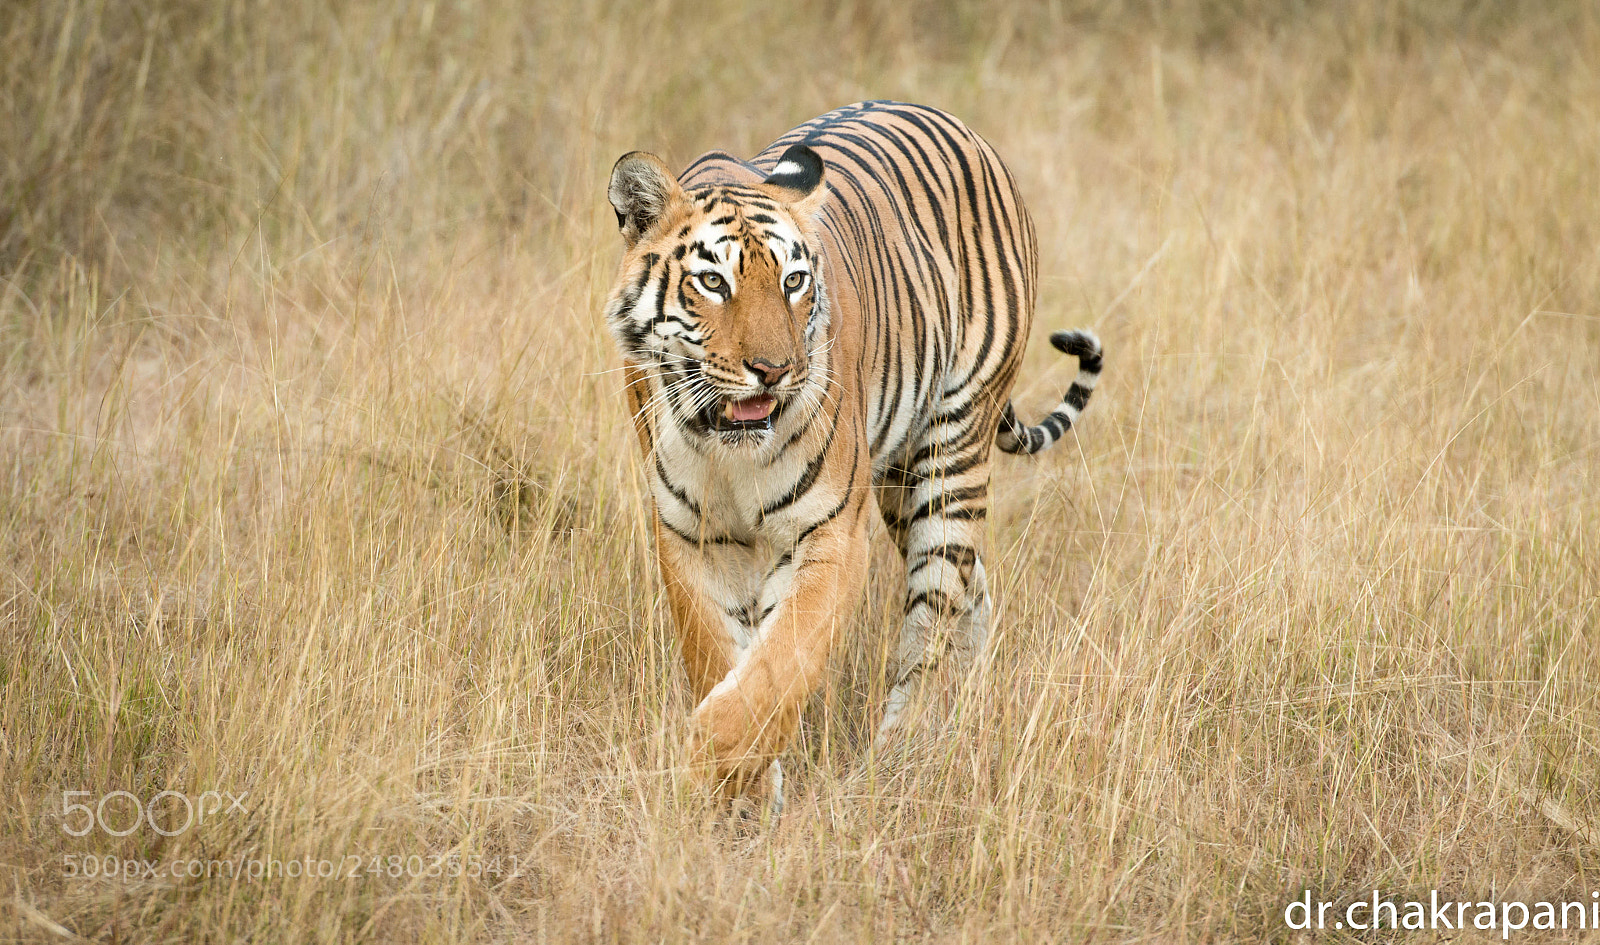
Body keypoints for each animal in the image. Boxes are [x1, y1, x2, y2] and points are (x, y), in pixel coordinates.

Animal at [602, 101, 1102, 810]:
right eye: (713, 282)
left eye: (793, 282)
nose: (774, 370)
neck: (730, 452)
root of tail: (964, 127)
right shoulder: (690, 535)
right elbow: (718, 653)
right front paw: (745, 795)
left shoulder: (831, 530)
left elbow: (782, 659)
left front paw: (714, 759)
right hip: (895, 479)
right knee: (973, 594)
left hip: (951, 452)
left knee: (934, 617)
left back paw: (903, 757)